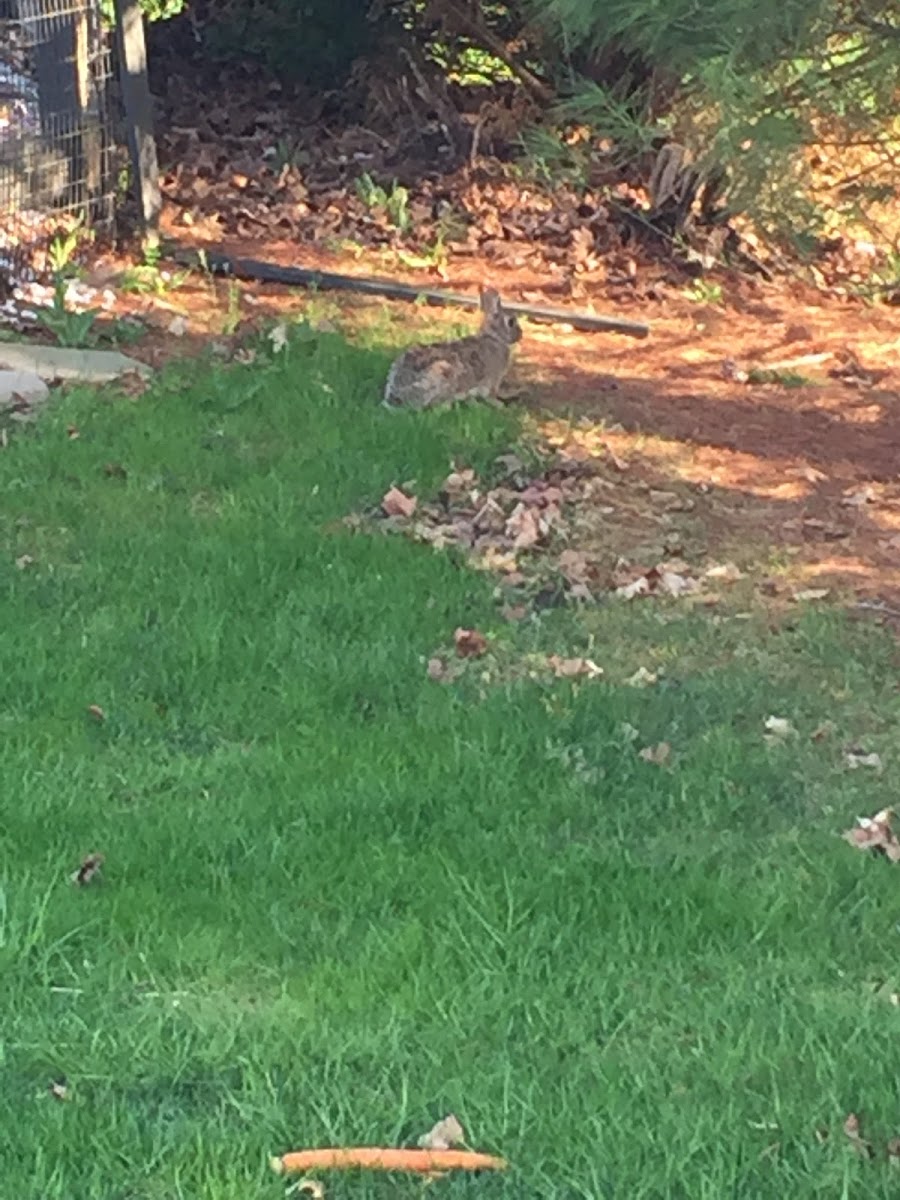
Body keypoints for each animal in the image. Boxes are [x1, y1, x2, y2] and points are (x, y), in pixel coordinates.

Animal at [381, 288, 520, 410]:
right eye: (511, 322)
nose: (520, 335)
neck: (494, 337)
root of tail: (396, 395)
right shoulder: (493, 380)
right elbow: (491, 395)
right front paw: (500, 405)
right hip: (442, 372)